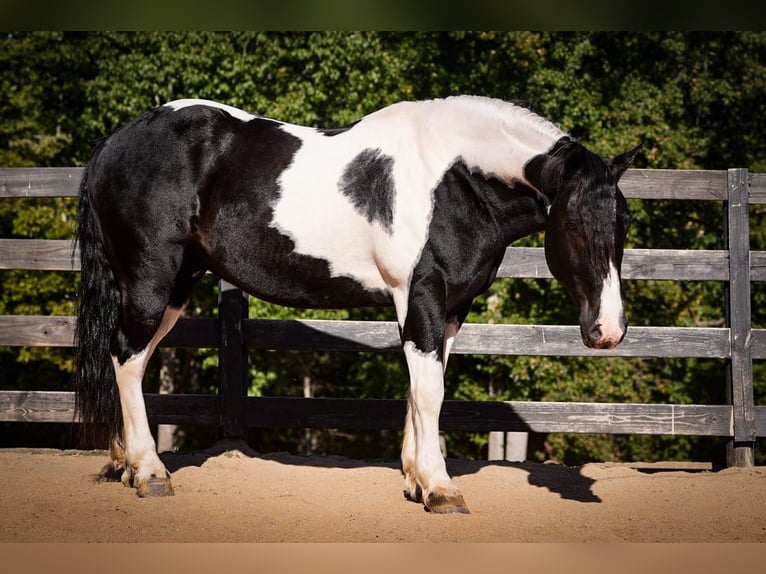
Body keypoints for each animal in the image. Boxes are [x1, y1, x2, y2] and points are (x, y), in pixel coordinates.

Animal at [73, 95, 639, 514]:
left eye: (625, 223)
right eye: (571, 223)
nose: (608, 331)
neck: (454, 180)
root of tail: (113, 144)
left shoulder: (447, 309)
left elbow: (423, 387)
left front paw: (415, 480)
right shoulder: (422, 296)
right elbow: (429, 392)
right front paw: (440, 489)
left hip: (175, 287)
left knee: (131, 358)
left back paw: (126, 464)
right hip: (151, 280)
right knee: (126, 357)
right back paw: (150, 473)